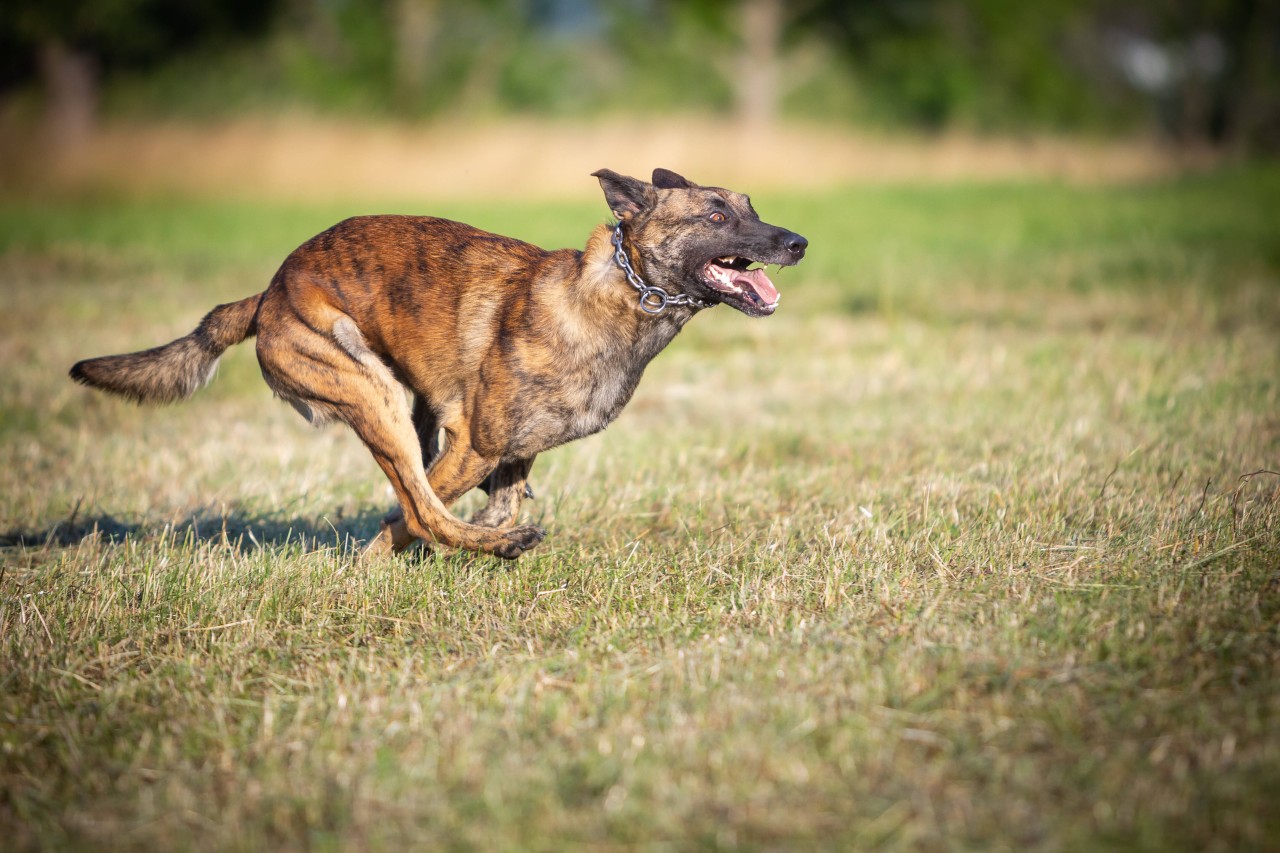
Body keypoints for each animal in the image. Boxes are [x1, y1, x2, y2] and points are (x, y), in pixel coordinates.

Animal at [67, 170, 808, 560]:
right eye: (715, 214)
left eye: (752, 207)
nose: (799, 242)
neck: (615, 295)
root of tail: (270, 292)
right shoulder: (474, 444)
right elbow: (411, 516)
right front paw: (376, 569)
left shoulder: (508, 458)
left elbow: (494, 505)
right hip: (374, 394)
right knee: (420, 507)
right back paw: (487, 548)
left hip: (404, 412)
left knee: (420, 499)